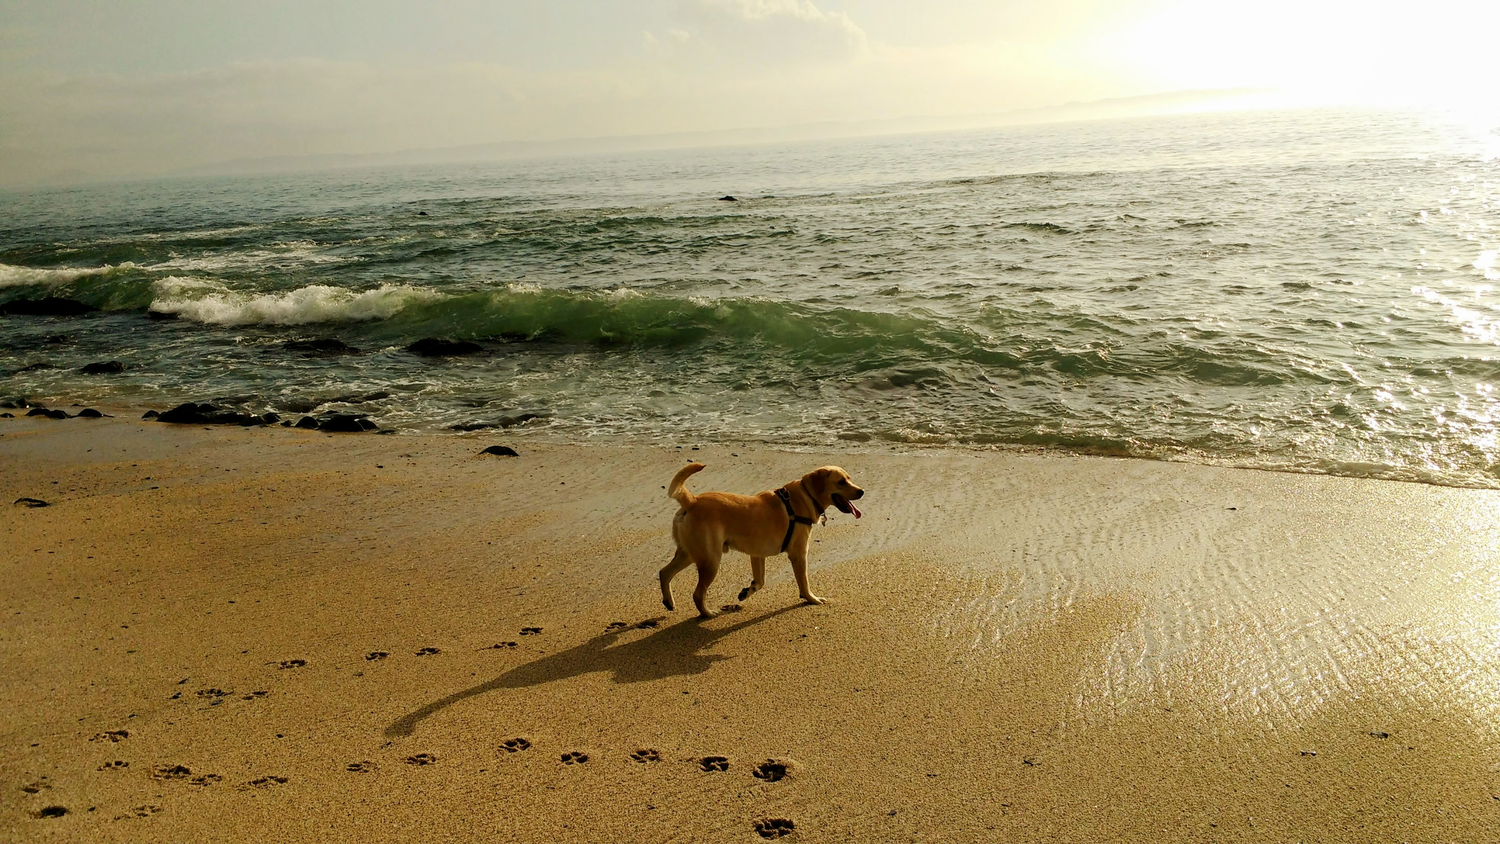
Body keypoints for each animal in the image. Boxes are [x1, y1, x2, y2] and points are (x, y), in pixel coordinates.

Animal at [660, 461, 864, 620]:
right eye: (841, 482)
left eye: (849, 478)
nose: (861, 491)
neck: (805, 495)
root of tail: (692, 501)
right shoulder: (799, 555)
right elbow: (804, 583)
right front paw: (812, 599)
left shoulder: (757, 554)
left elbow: (760, 581)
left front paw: (747, 591)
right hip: (710, 560)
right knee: (697, 593)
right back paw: (708, 613)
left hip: (689, 554)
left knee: (664, 572)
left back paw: (669, 602)